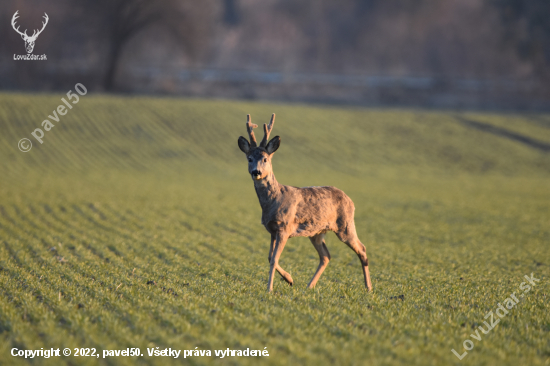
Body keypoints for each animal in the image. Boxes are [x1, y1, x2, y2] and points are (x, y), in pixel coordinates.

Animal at [238, 114, 376, 292]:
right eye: (249, 159)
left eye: (265, 159)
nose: (256, 172)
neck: (273, 201)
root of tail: (349, 200)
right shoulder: (272, 230)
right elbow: (269, 257)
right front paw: (289, 279)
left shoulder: (285, 227)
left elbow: (274, 259)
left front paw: (270, 289)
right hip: (316, 232)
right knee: (326, 256)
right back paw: (309, 286)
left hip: (345, 225)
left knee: (362, 249)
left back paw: (369, 287)